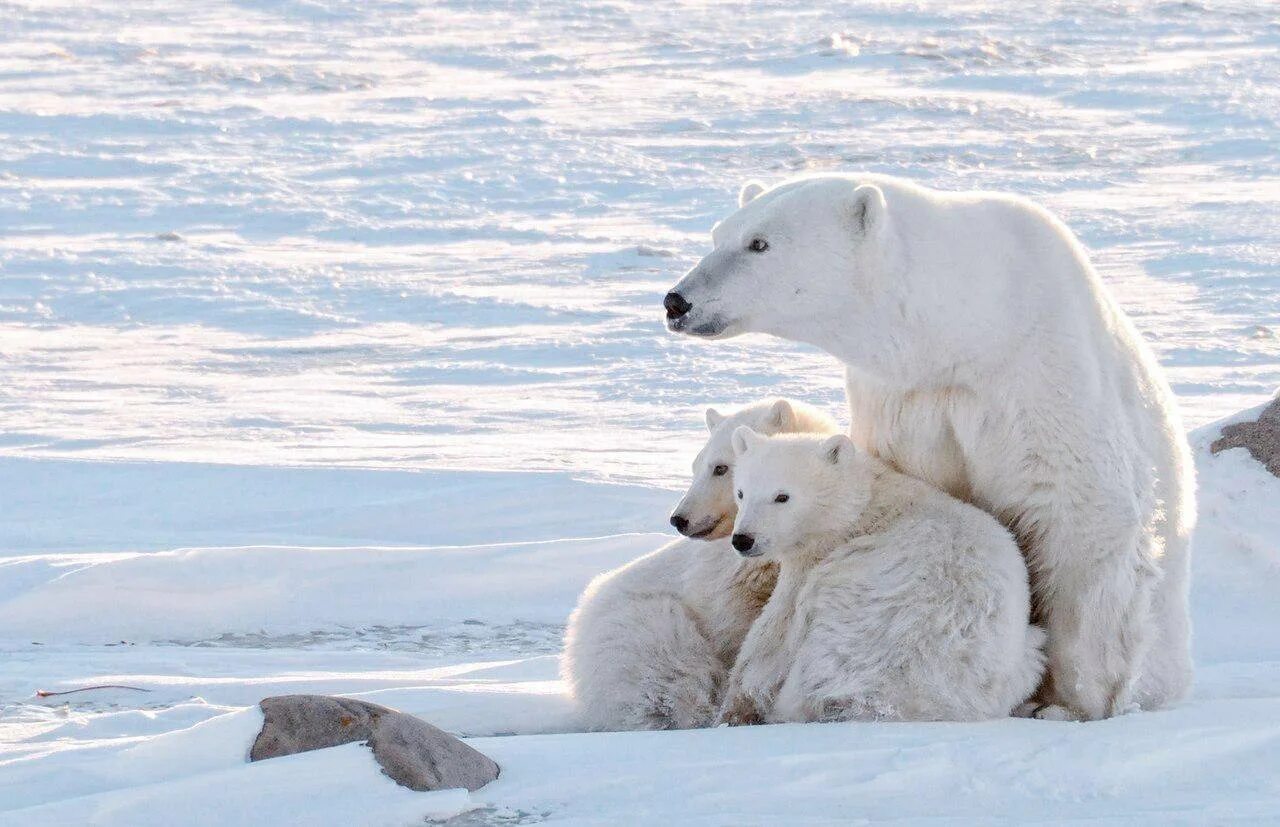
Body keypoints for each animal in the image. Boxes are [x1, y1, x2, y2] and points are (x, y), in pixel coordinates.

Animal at [563, 401, 839, 732]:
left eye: (720, 467)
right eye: (695, 466)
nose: (679, 519)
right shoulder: (725, 586)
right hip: (634, 629)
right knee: (674, 664)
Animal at [716, 427, 1044, 727]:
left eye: (782, 496)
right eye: (741, 492)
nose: (743, 540)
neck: (863, 504)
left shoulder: (820, 558)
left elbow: (773, 631)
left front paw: (735, 703)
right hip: (1018, 660)